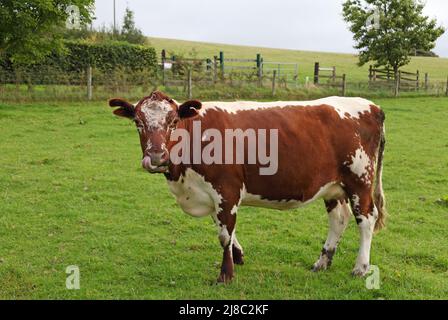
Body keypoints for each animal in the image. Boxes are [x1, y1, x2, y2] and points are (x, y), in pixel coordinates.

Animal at [108, 90, 384, 282]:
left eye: (174, 121)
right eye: (138, 122)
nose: (156, 157)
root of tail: (372, 106)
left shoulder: (226, 189)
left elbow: (224, 234)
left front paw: (226, 275)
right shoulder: (212, 194)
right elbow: (224, 228)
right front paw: (238, 256)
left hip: (360, 180)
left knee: (366, 219)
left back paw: (360, 268)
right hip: (333, 186)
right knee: (339, 219)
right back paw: (322, 263)